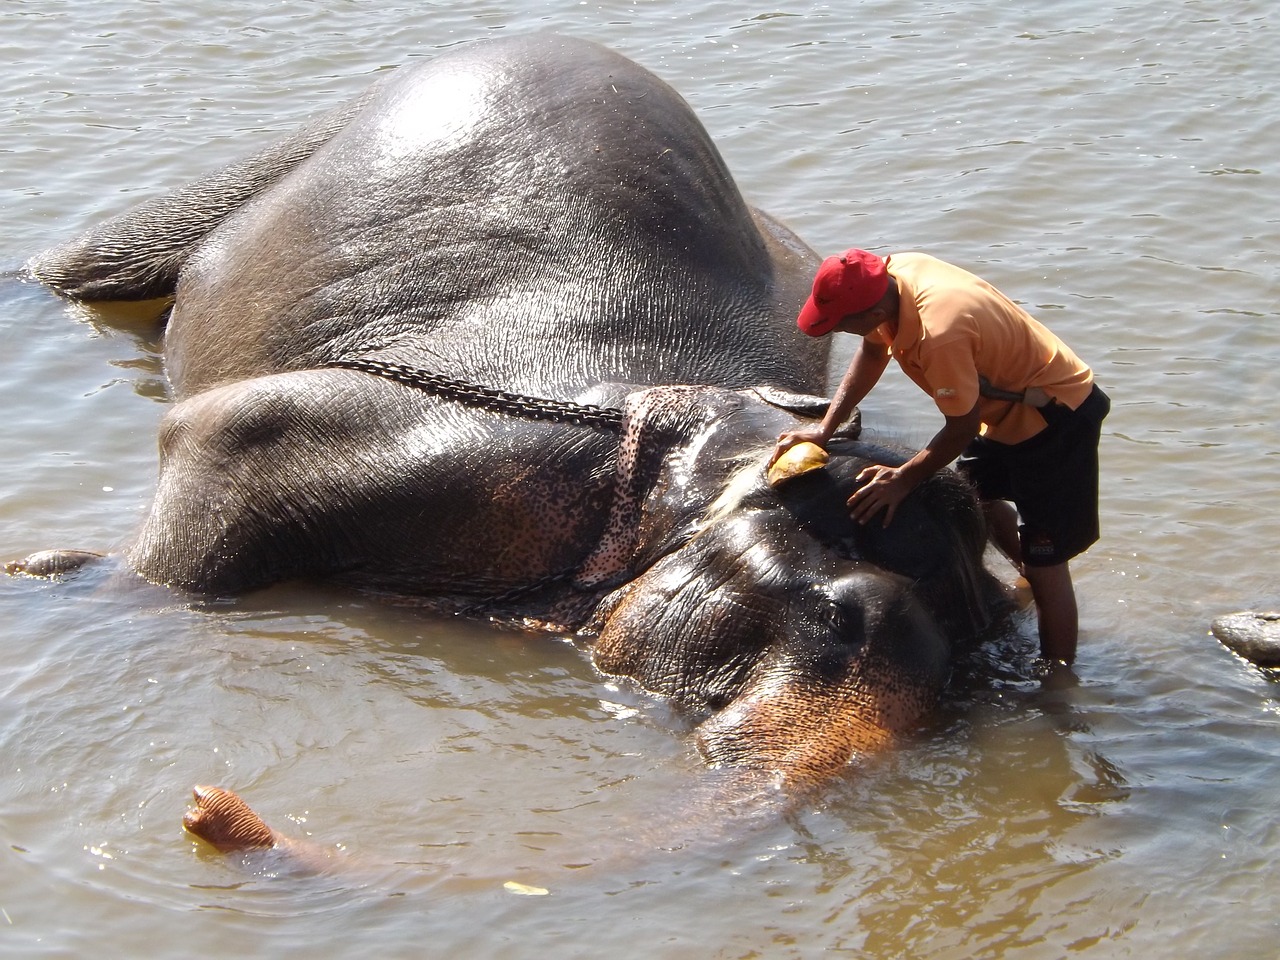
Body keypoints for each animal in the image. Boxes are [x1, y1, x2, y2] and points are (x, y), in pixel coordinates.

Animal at [12, 32, 1008, 849]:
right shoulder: (453, 448)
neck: (713, 440)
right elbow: (220, 441)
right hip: (289, 150)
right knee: (94, 262)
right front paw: (49, 571)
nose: (202, 808)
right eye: (843, 621)